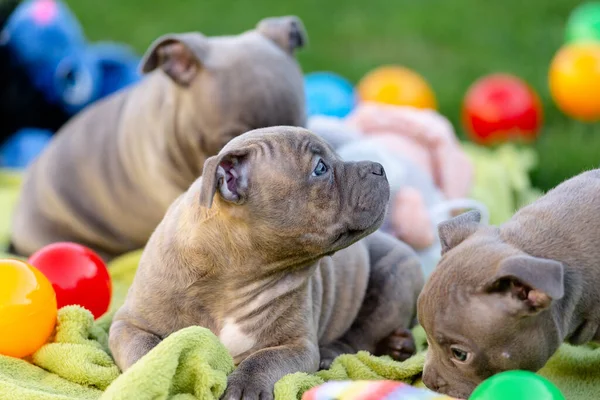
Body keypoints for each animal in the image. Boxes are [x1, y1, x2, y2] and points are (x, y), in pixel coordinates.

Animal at [110, 126, 424, 398]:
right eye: (320, 168)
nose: (379, 167)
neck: (235, 273)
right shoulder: (128, 324)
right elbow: (147, 349)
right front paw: (153, 374)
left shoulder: (297, 346)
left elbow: (263, 359)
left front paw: (245, 386)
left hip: (392, 279)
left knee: (360, 335)